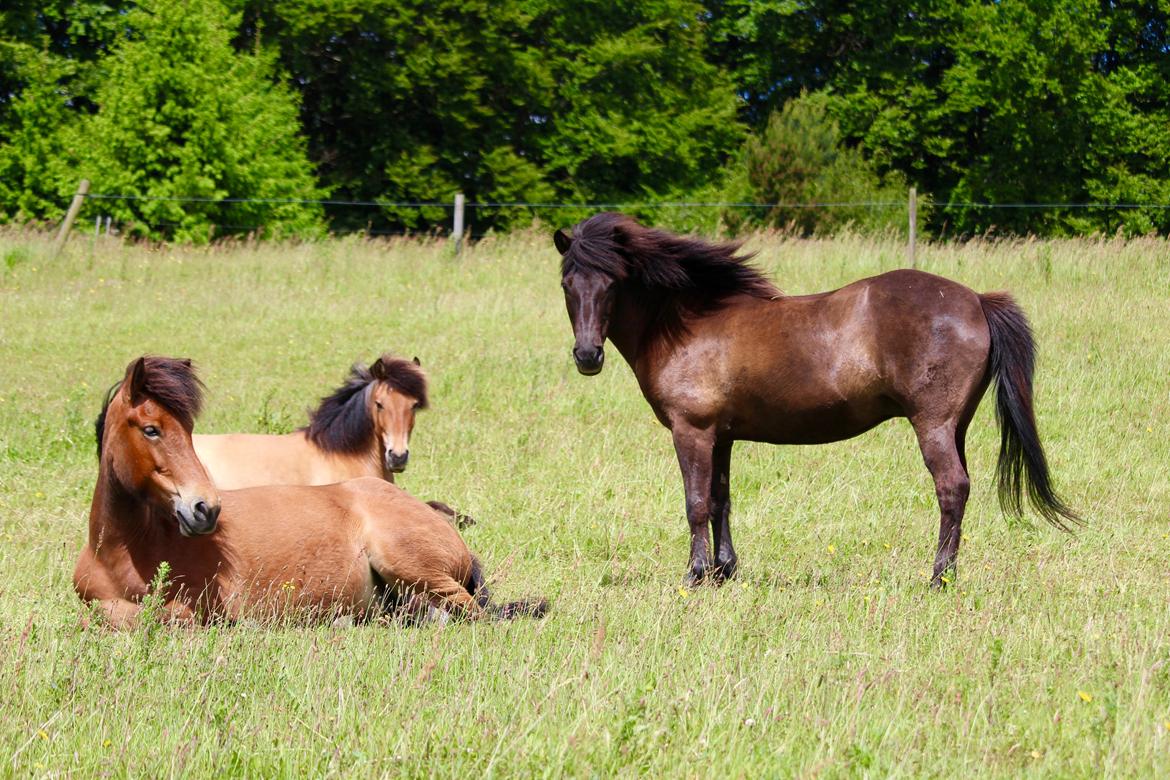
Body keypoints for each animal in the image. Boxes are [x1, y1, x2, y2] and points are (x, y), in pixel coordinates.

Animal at [554, 211, 1076, 584]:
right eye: (567, 284)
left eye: (612, 283)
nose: (587, 356)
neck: (688, 322)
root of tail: (976, 300)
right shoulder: (721, 436)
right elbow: (721, 499)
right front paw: (725, 571)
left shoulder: (693, 431)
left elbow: (696, 502)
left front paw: (696, 574)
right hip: (957, 427)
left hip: (933, 426)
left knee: (951, 488)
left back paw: (937, 577)